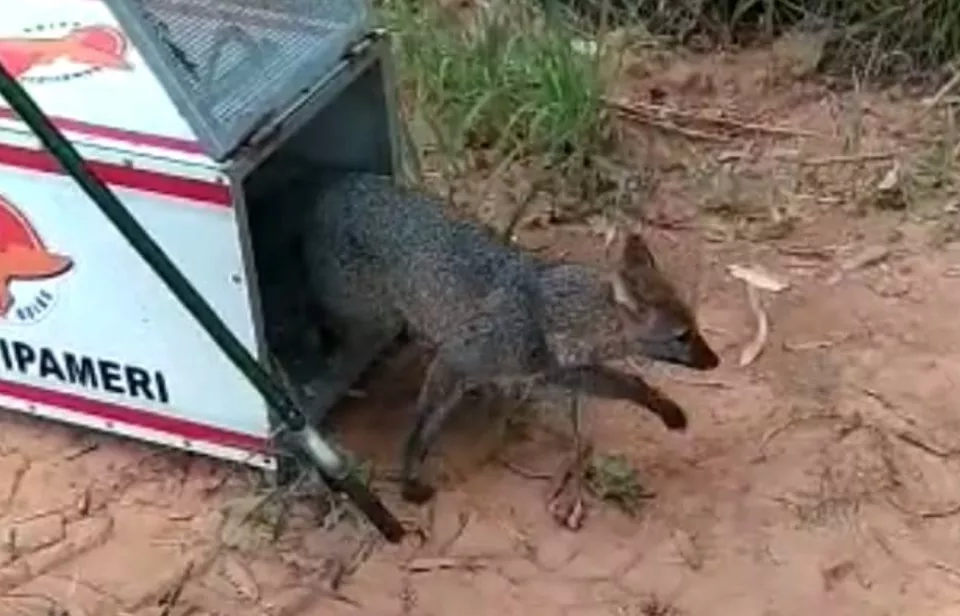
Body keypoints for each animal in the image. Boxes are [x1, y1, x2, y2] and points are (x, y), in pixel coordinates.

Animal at [297, 172, 719, 503]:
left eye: (696, 328)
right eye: (683, 336)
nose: (715, 361)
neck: (546, 310)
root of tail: (328, 189)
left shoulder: (553, 370)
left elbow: (629, 382)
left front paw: (665, 407)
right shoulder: (457, 358)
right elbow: (425, 424)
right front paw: (409, 476)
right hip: (371, 331)